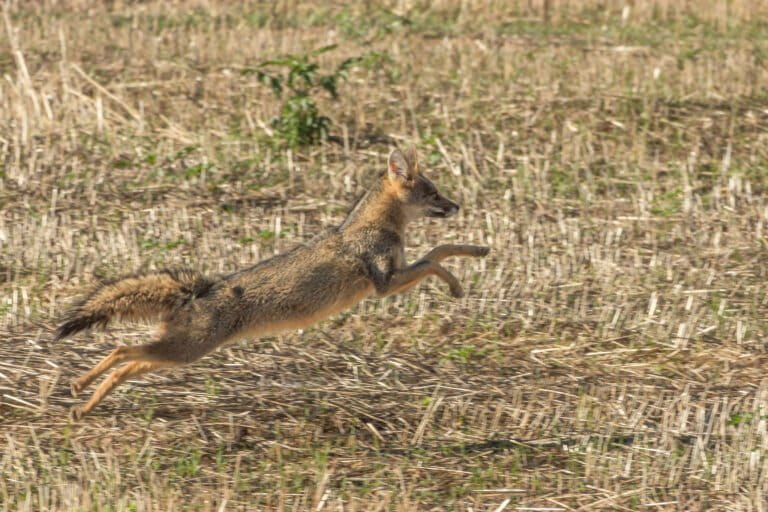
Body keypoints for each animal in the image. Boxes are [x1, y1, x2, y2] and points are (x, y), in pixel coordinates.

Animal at [55, 148, 490, 419]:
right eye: (434, 193)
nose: (456, 206)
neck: (375, 225)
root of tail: (200, 288)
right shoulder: (385, 282)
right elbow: (434, 256)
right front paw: (456, 283)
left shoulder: (390, 278)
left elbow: (440, 249)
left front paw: (478, 250)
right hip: (185, 351)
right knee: (120, 350)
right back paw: (79, 390)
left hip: (178, 353)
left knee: (126, 363)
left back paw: (82, 398)